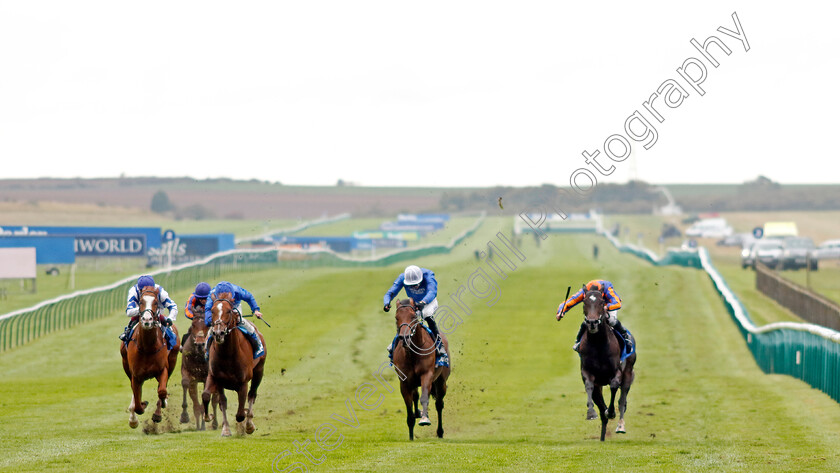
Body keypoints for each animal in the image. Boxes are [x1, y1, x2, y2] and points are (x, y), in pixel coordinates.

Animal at [120, 284, 179, 428]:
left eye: (156, 302)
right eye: (141, 301)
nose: (147, 320)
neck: (147, 348)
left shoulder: (163, 370)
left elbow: (162, 391)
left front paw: (161, 406)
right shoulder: (136, 375)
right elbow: (138, 405)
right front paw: (137, 412)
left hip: (173, 360)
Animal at [201, 294, 264, 436]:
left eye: (229, 311)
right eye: (212, 310)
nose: (218, 333)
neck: (227, 354)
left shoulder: (243, 382)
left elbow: (240, 414)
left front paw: (246, 423)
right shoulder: (216, 377)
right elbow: (213, 398)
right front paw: (220, 425)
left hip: (259, 371)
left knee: (252, 395)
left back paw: (249, 424)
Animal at [390, 298, 450, 438]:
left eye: (413, 317)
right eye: (396, 317)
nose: (404, 338)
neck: (412, 353)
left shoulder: (427, 375)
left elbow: (424, 398)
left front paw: (424, 419)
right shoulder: (405, 382)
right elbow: (409, 408)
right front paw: (411, 437)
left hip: (441, 381)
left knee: (439, 404)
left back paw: (440, 432)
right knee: (416, 396)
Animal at [576, 286, 636, 440]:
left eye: (602, 301)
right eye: (584, 302)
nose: (592, 323)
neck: (598, 344)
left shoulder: (617, 372)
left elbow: (614, 386)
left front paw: (611, 411)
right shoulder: (587, 372)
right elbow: (589, 386)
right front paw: (591, 413)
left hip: (628, 373)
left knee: (622, 400)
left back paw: (620, 425)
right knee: (602, 409)